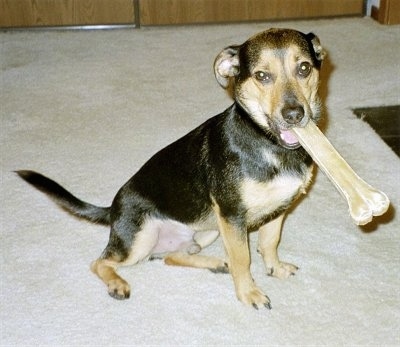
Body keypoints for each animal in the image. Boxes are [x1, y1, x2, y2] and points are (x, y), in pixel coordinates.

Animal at [17, 27, 326, 310]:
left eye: (304, 68)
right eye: (262, 76)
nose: (294, 115)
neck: (270, 144)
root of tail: (113, 210)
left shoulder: (278, 208)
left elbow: (270, 242)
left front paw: (275, 268)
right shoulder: (232, 215)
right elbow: (243, 259)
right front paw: (249, 293)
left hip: (208, 230)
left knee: (171, 256)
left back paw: (214, 262)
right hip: (142, 239)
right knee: (100, 262)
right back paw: (118, 284)